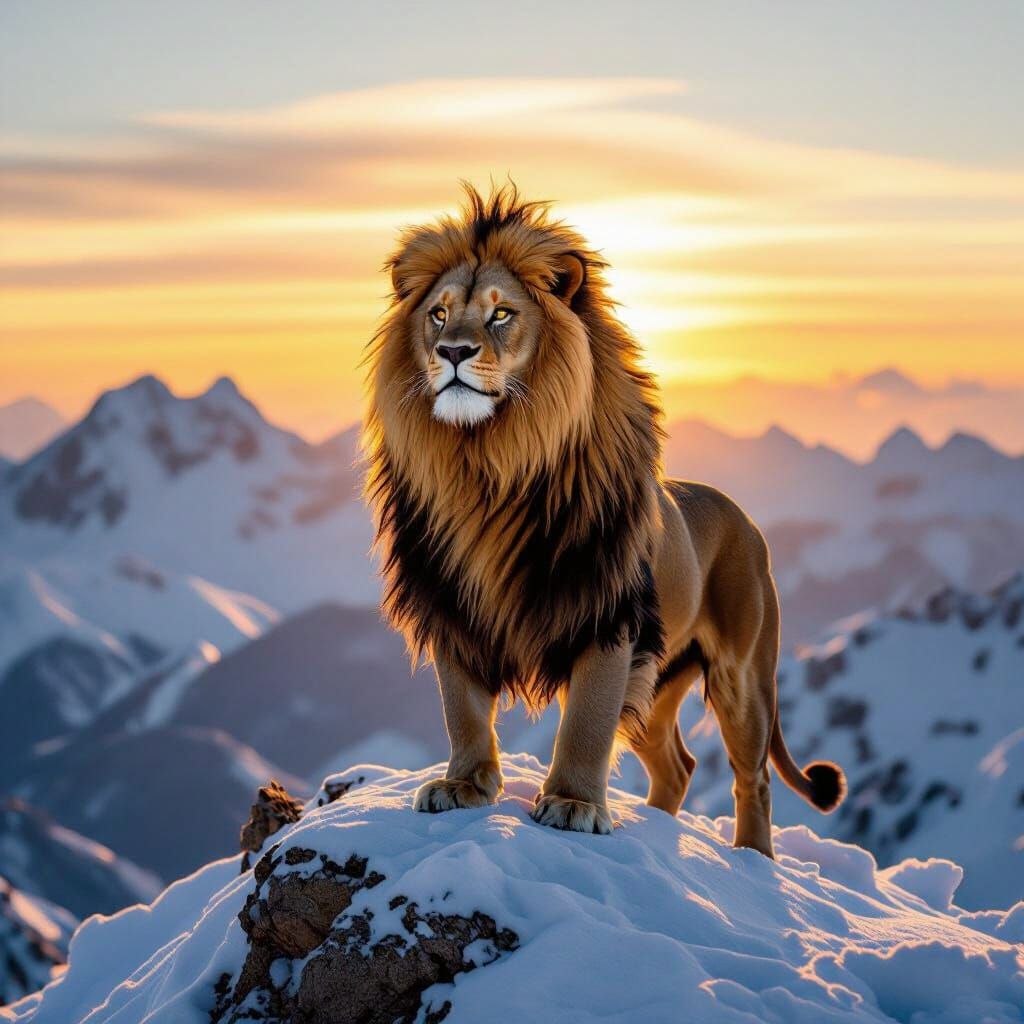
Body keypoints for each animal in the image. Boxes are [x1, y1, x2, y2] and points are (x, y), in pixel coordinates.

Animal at [362, 185, 845, 857]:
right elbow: (461, 708)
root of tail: (744, 517)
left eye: (501, 314)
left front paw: (572, 804)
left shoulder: (606, 615)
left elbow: (586, 721)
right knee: (679, 765)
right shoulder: (452, 605)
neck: (487, 469)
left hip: (742, 676)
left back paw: (753, 859)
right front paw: (463, 785)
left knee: (753, 778)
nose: (452, 351)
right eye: (438, 314)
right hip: (658, 682)